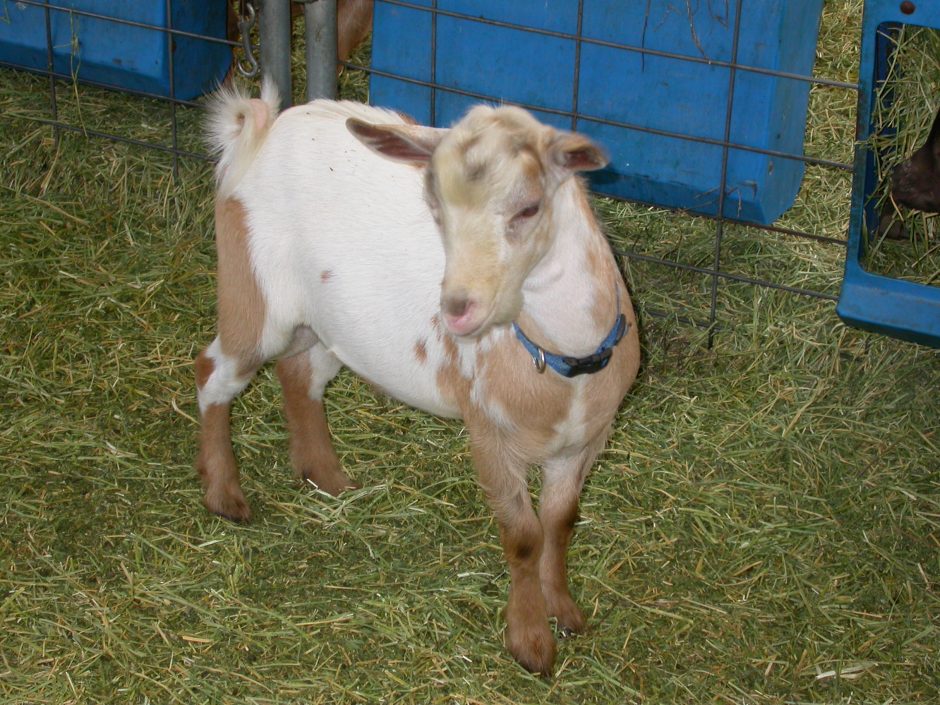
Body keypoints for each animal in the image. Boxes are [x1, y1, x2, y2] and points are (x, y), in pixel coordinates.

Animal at [196, 84, 641, 675]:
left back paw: (326, 476)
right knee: (214, 372)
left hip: (332, 324)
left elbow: (561, 523)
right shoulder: (488, 434)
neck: (563, 362)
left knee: (299, 373)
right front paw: (530, 643)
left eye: (529, 207)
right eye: (436, 211)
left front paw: (565, 612)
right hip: (253, 295)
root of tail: (261, 129)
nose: (457, 308)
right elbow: (524, 535)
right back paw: (224, 494)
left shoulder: (584, 442)